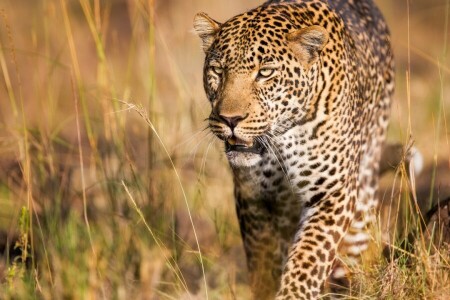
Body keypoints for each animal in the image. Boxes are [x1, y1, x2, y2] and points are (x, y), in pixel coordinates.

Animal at [193, 1, 394, 298]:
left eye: (265, 73)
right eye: (218, 70)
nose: (230, 119)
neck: (279, 140)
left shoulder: (332, 194)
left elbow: (308, 258)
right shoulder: (254, 198)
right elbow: (262, 260)